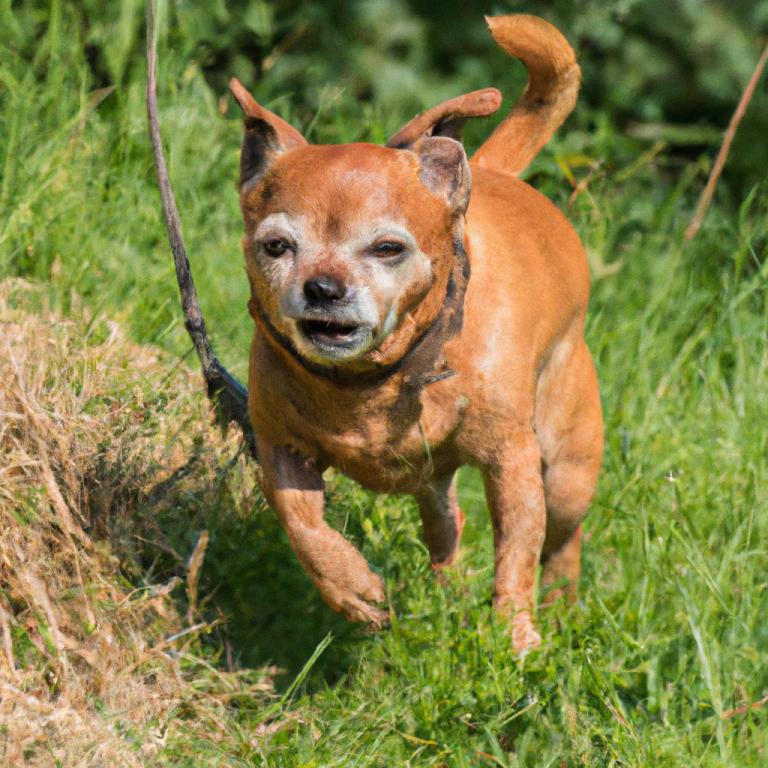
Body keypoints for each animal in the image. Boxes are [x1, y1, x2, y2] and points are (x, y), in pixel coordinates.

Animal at [231, 15, 604, 652]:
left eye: (388, 248)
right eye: (277, 246)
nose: (323, 287)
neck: (373, 380)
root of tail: (492, 172)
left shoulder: (512, 461)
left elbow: (516, 550)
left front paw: (514, 632)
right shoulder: (280, 448)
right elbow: (303, 525)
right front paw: (351, 587)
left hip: (566, 469)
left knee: (558, 539)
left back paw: (557, 606)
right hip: (434, 486)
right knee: (447, 528)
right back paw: (446, 593)